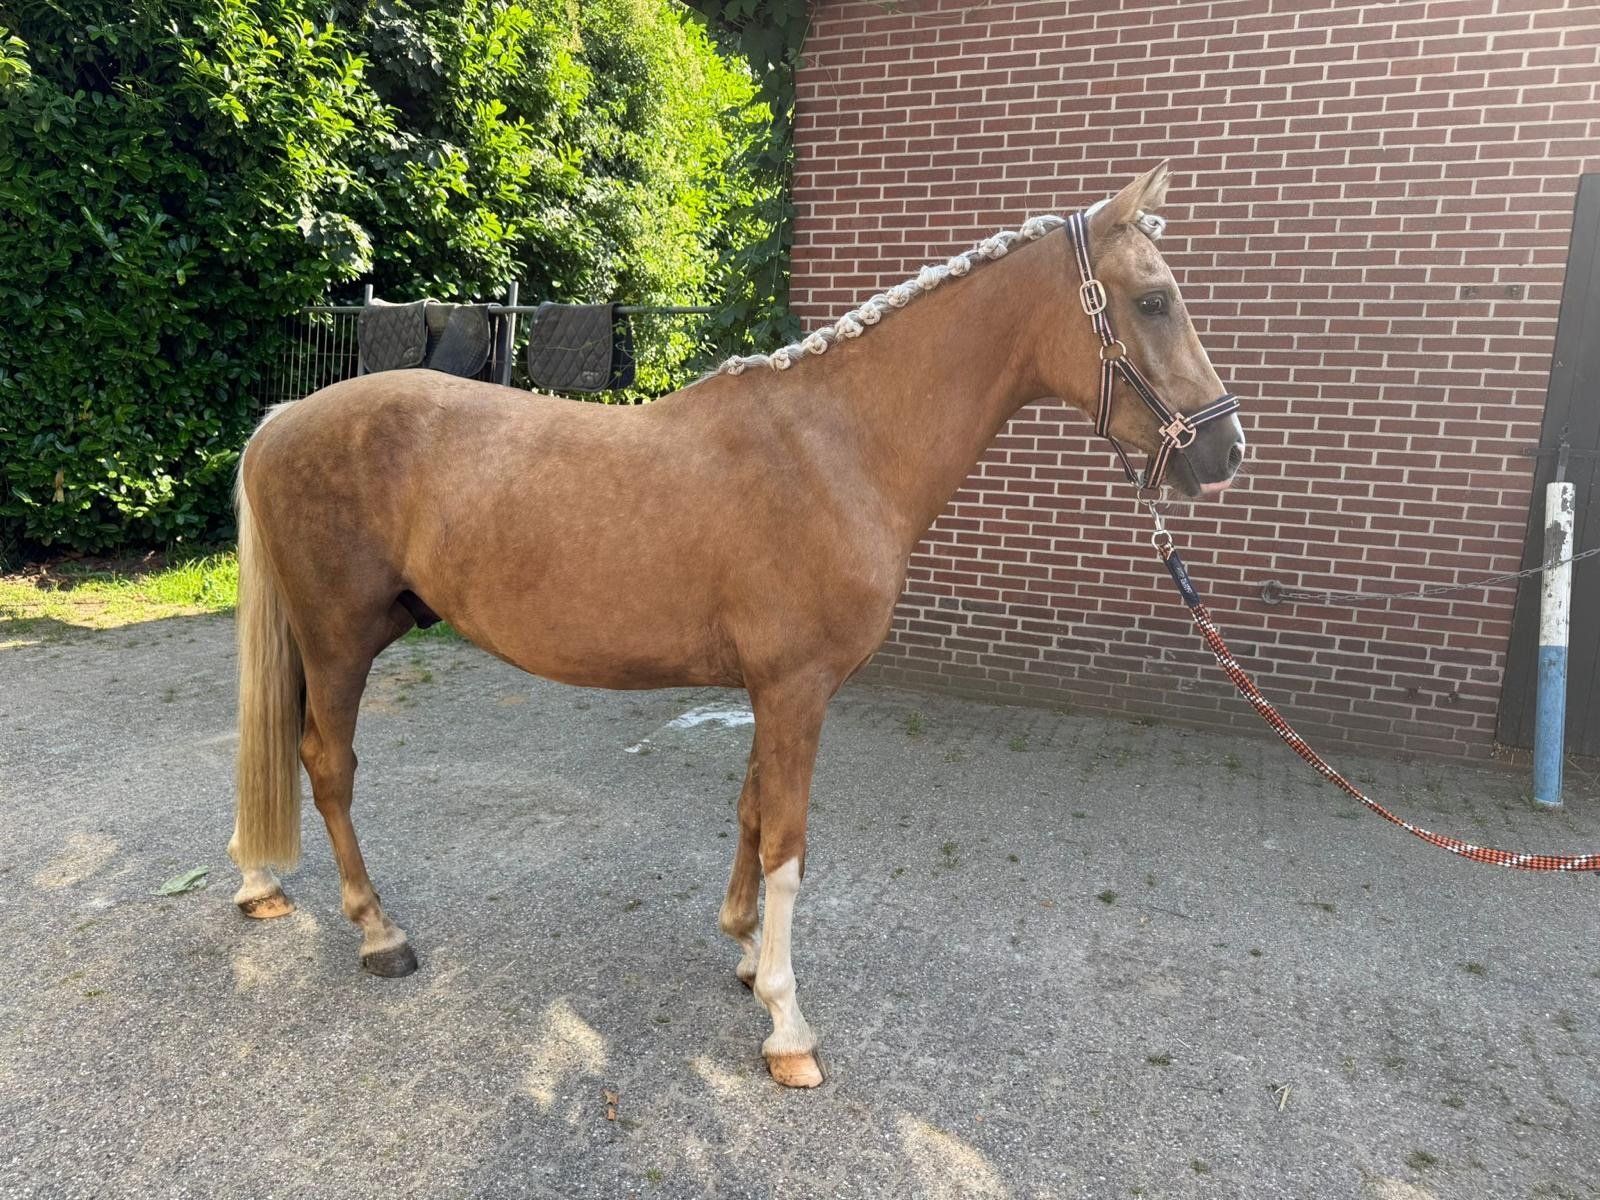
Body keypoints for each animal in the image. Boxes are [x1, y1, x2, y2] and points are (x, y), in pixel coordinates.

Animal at [229, 162, 1246, 1089]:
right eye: (1154, 300)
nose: (1228, 451)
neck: (838, 447)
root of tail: (284, 418)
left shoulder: (775, 689)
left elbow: (754, 815)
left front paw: (749, 956)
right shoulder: (797, 689)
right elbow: (788, 845)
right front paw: (788, 1027)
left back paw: (261, 884)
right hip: (338, 638)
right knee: (327, 763)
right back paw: (377, 933)